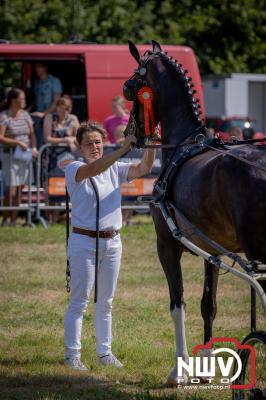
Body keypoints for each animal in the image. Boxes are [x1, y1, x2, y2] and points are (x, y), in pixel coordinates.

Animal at [123, 39, 266, 384]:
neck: (184, 143)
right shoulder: (212, 250)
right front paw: (205, 366)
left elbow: (178, 302)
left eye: (129, 88)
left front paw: (180, 369)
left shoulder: (166, 244)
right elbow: (207, 304)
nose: (130, 135)